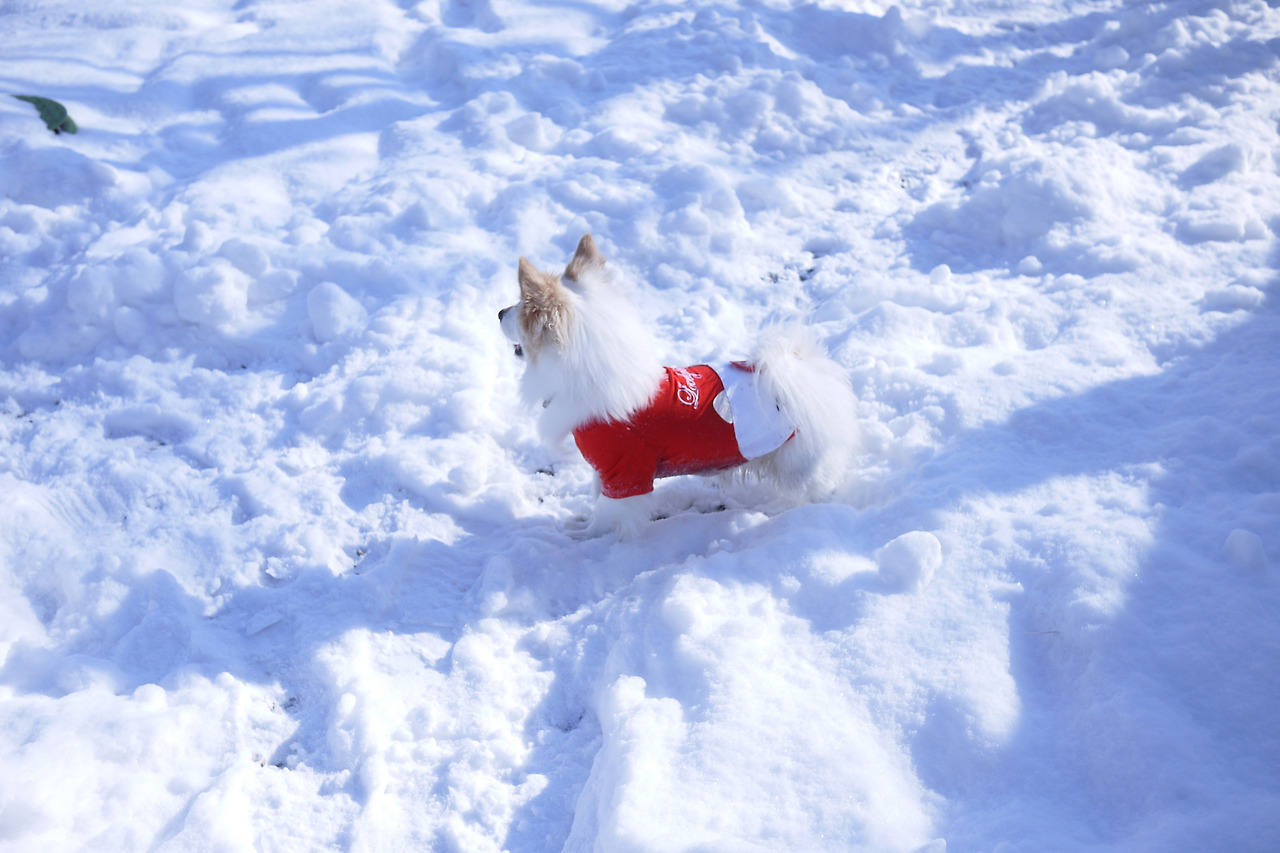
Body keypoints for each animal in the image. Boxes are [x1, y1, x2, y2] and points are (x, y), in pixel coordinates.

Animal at [499, 234, 858, 538]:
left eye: (519, 307)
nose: (499, 311)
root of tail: (808, 375)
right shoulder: (606, 471)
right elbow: (597, 499)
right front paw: (583, 524)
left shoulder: (624, 470)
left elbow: (607, 513)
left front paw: (586, 538)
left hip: (799, 464)